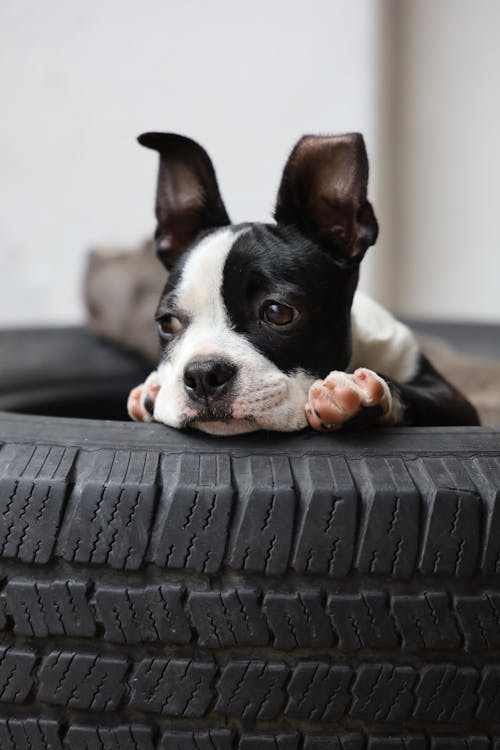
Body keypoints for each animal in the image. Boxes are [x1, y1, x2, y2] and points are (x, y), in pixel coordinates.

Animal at [127, 131, 478, 432]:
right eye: (168, 322)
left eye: (277, 312)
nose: (202, 373)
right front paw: (152, 390)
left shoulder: (456, 402)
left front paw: (358, 391)